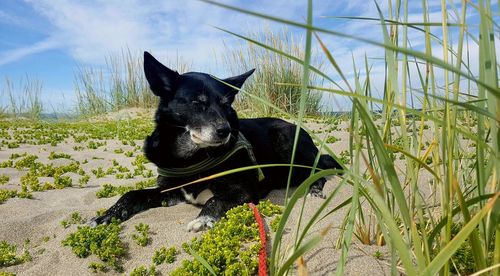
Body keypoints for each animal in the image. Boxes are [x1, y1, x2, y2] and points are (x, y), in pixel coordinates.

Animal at [90, 51, 342, 231]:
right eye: (197, 102)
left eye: (225, 104)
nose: (226, 131)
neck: (191, 158)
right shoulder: (169, 190)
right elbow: (132, 194)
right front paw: (108, 215)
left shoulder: (243, 191)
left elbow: (214, 200)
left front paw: (203, 219)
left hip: (285, 137)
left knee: (319, 169)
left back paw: (314, 189)